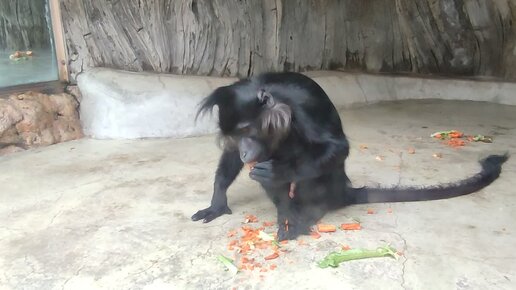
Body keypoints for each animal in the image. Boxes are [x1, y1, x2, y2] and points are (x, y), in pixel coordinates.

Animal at [191, 72, 510, 240]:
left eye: (247, 130)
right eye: (235, 135)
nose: (246, 149)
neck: (273, 98)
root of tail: (342, 191)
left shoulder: (301, 105)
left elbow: (337, 148)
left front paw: (280, 171)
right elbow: (233, 158)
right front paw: (218, 200)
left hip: (328, 185)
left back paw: (307, 211)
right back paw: (287, 212)